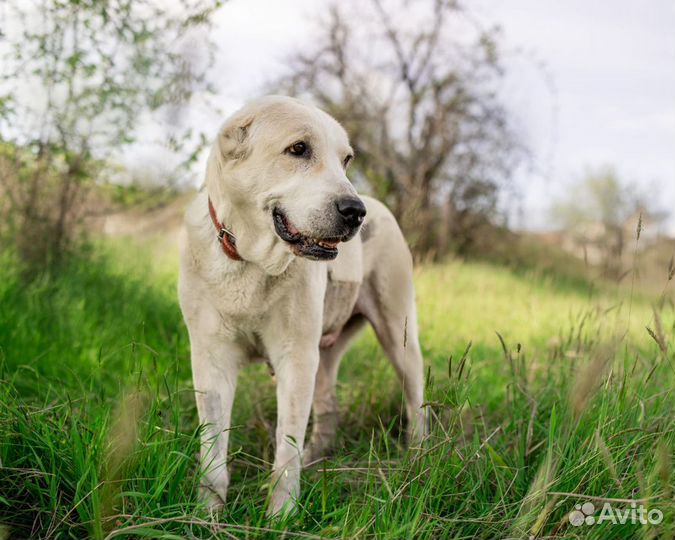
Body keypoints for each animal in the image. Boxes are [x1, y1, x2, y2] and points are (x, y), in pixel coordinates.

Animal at [177, 96, 426, 516]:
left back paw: (419, 456)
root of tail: (379, 205)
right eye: (298, 149)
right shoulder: (211, 358)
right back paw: (316, 456)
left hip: (398, 336)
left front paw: (280, 515)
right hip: (324, 356)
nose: (355, 211)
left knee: (416, 398)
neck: (250, 259)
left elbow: (286, 446)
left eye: (346, 160)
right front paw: (207, 512)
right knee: (328, 409)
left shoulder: (296, 358)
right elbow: (213, 447)